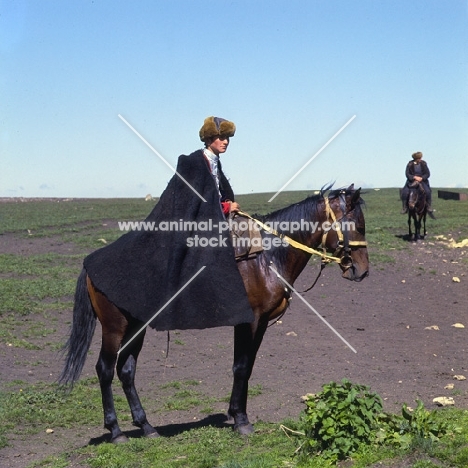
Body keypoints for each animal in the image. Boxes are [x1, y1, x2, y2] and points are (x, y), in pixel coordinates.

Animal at [59, 184, 370, 442]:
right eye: (357, 225)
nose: (362, 270)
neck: (266, 256)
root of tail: (91, 262)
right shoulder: (250, 322)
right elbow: (241, 367)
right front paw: (242, 421)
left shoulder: (258, 324)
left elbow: (246, 367)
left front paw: (235, 413)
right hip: (114, 326)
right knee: (104, 369)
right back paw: (115, 431)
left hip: (137, 325)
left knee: (126, 370)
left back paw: (146, 426)